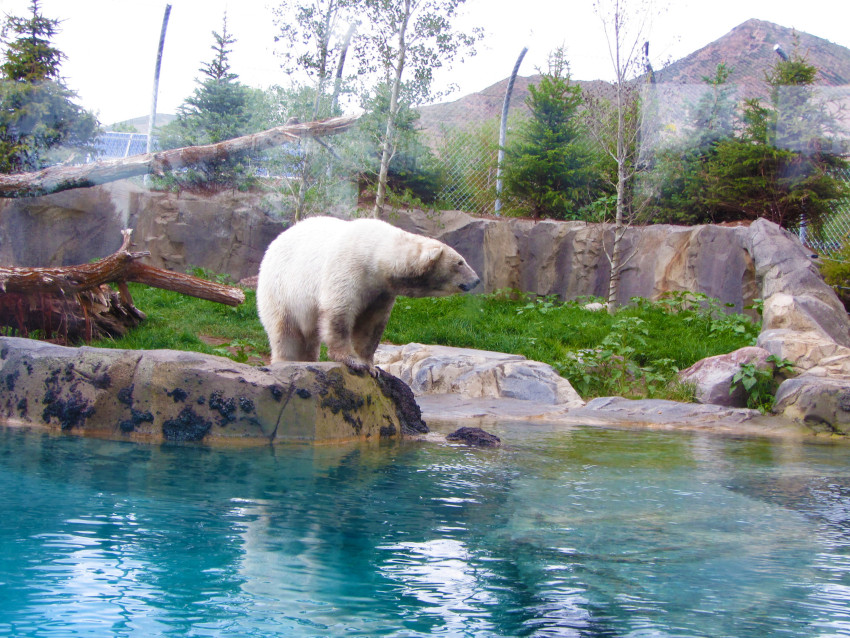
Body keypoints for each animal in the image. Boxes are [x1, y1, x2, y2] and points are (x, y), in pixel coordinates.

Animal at [255, 218, 476, 372]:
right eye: (460, 262)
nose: (476, 280)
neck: (375, 254)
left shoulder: (380, 290)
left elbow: (371, 324)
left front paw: (370, 365)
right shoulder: (347, 269)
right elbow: (339, 314)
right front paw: (352, 361)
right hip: (279, 289)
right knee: (284, 332)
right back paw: (287, 361)